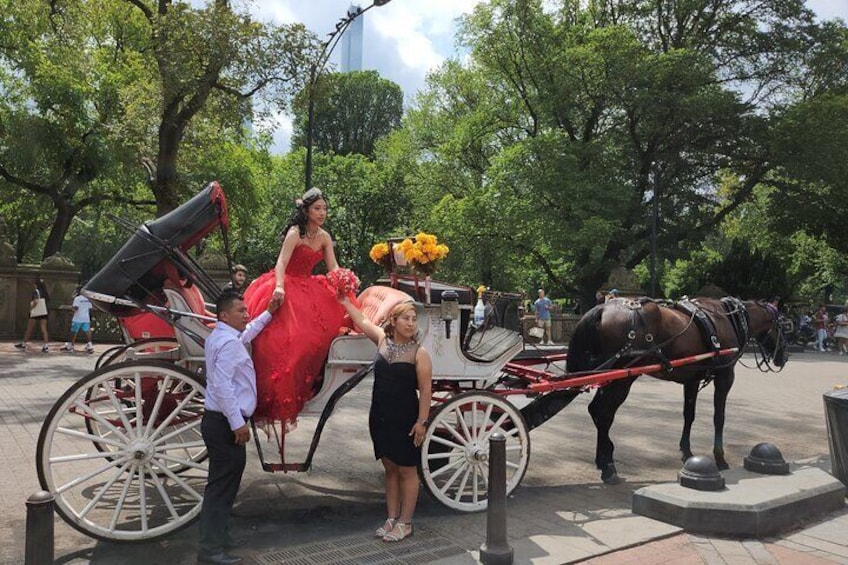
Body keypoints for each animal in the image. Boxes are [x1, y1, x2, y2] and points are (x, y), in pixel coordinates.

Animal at [564, 296, 788, 484]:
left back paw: (603, 458)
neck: (729, 319)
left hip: (609, 378)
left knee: (596, 411)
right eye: (785, 327)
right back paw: (608, 466)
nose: (783, 358)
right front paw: (720, 458)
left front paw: (686, 451)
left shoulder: (692, 379)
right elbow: (719, 417)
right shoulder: (725, 377)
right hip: (622, 378)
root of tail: (603, 308)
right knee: (603, 414)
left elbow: (689, 415)